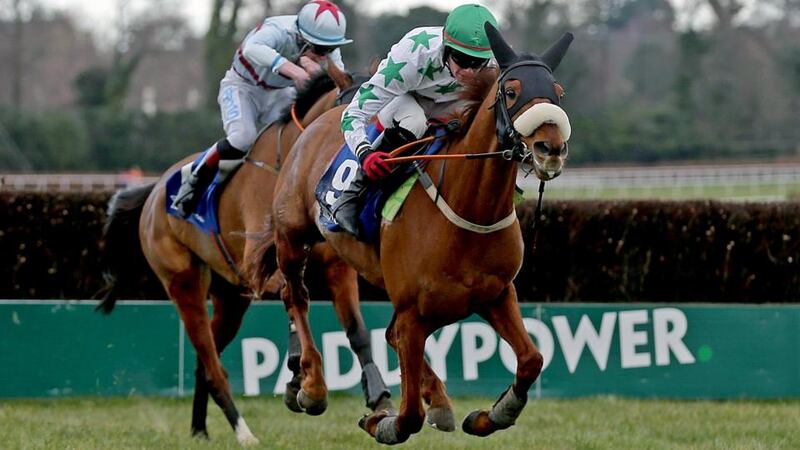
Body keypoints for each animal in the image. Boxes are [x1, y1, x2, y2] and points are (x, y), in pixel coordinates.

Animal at [98, 61, 392, 444]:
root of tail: (154, 189)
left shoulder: (335, 267)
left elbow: (356, 331)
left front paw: (377, 395)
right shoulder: (261, 261)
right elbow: (291, 300)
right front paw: (298, 377)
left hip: (230, 297)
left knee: (204, 363)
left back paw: (200, 430)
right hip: (183, 282)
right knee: (213, 365)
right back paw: (244, 432)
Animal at [268, 25, 576, 446]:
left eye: (557, 92)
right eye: (512, 91)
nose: (551, 149)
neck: (468, 212)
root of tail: (320, 120)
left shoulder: (495, 294)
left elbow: (532, 359)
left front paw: (494, 414)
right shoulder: (413, 312)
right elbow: (409, 414)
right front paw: (379, 421)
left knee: (384, 333)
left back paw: (440, 403)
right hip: (292, 235)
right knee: (295, 297)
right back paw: (312, 386)